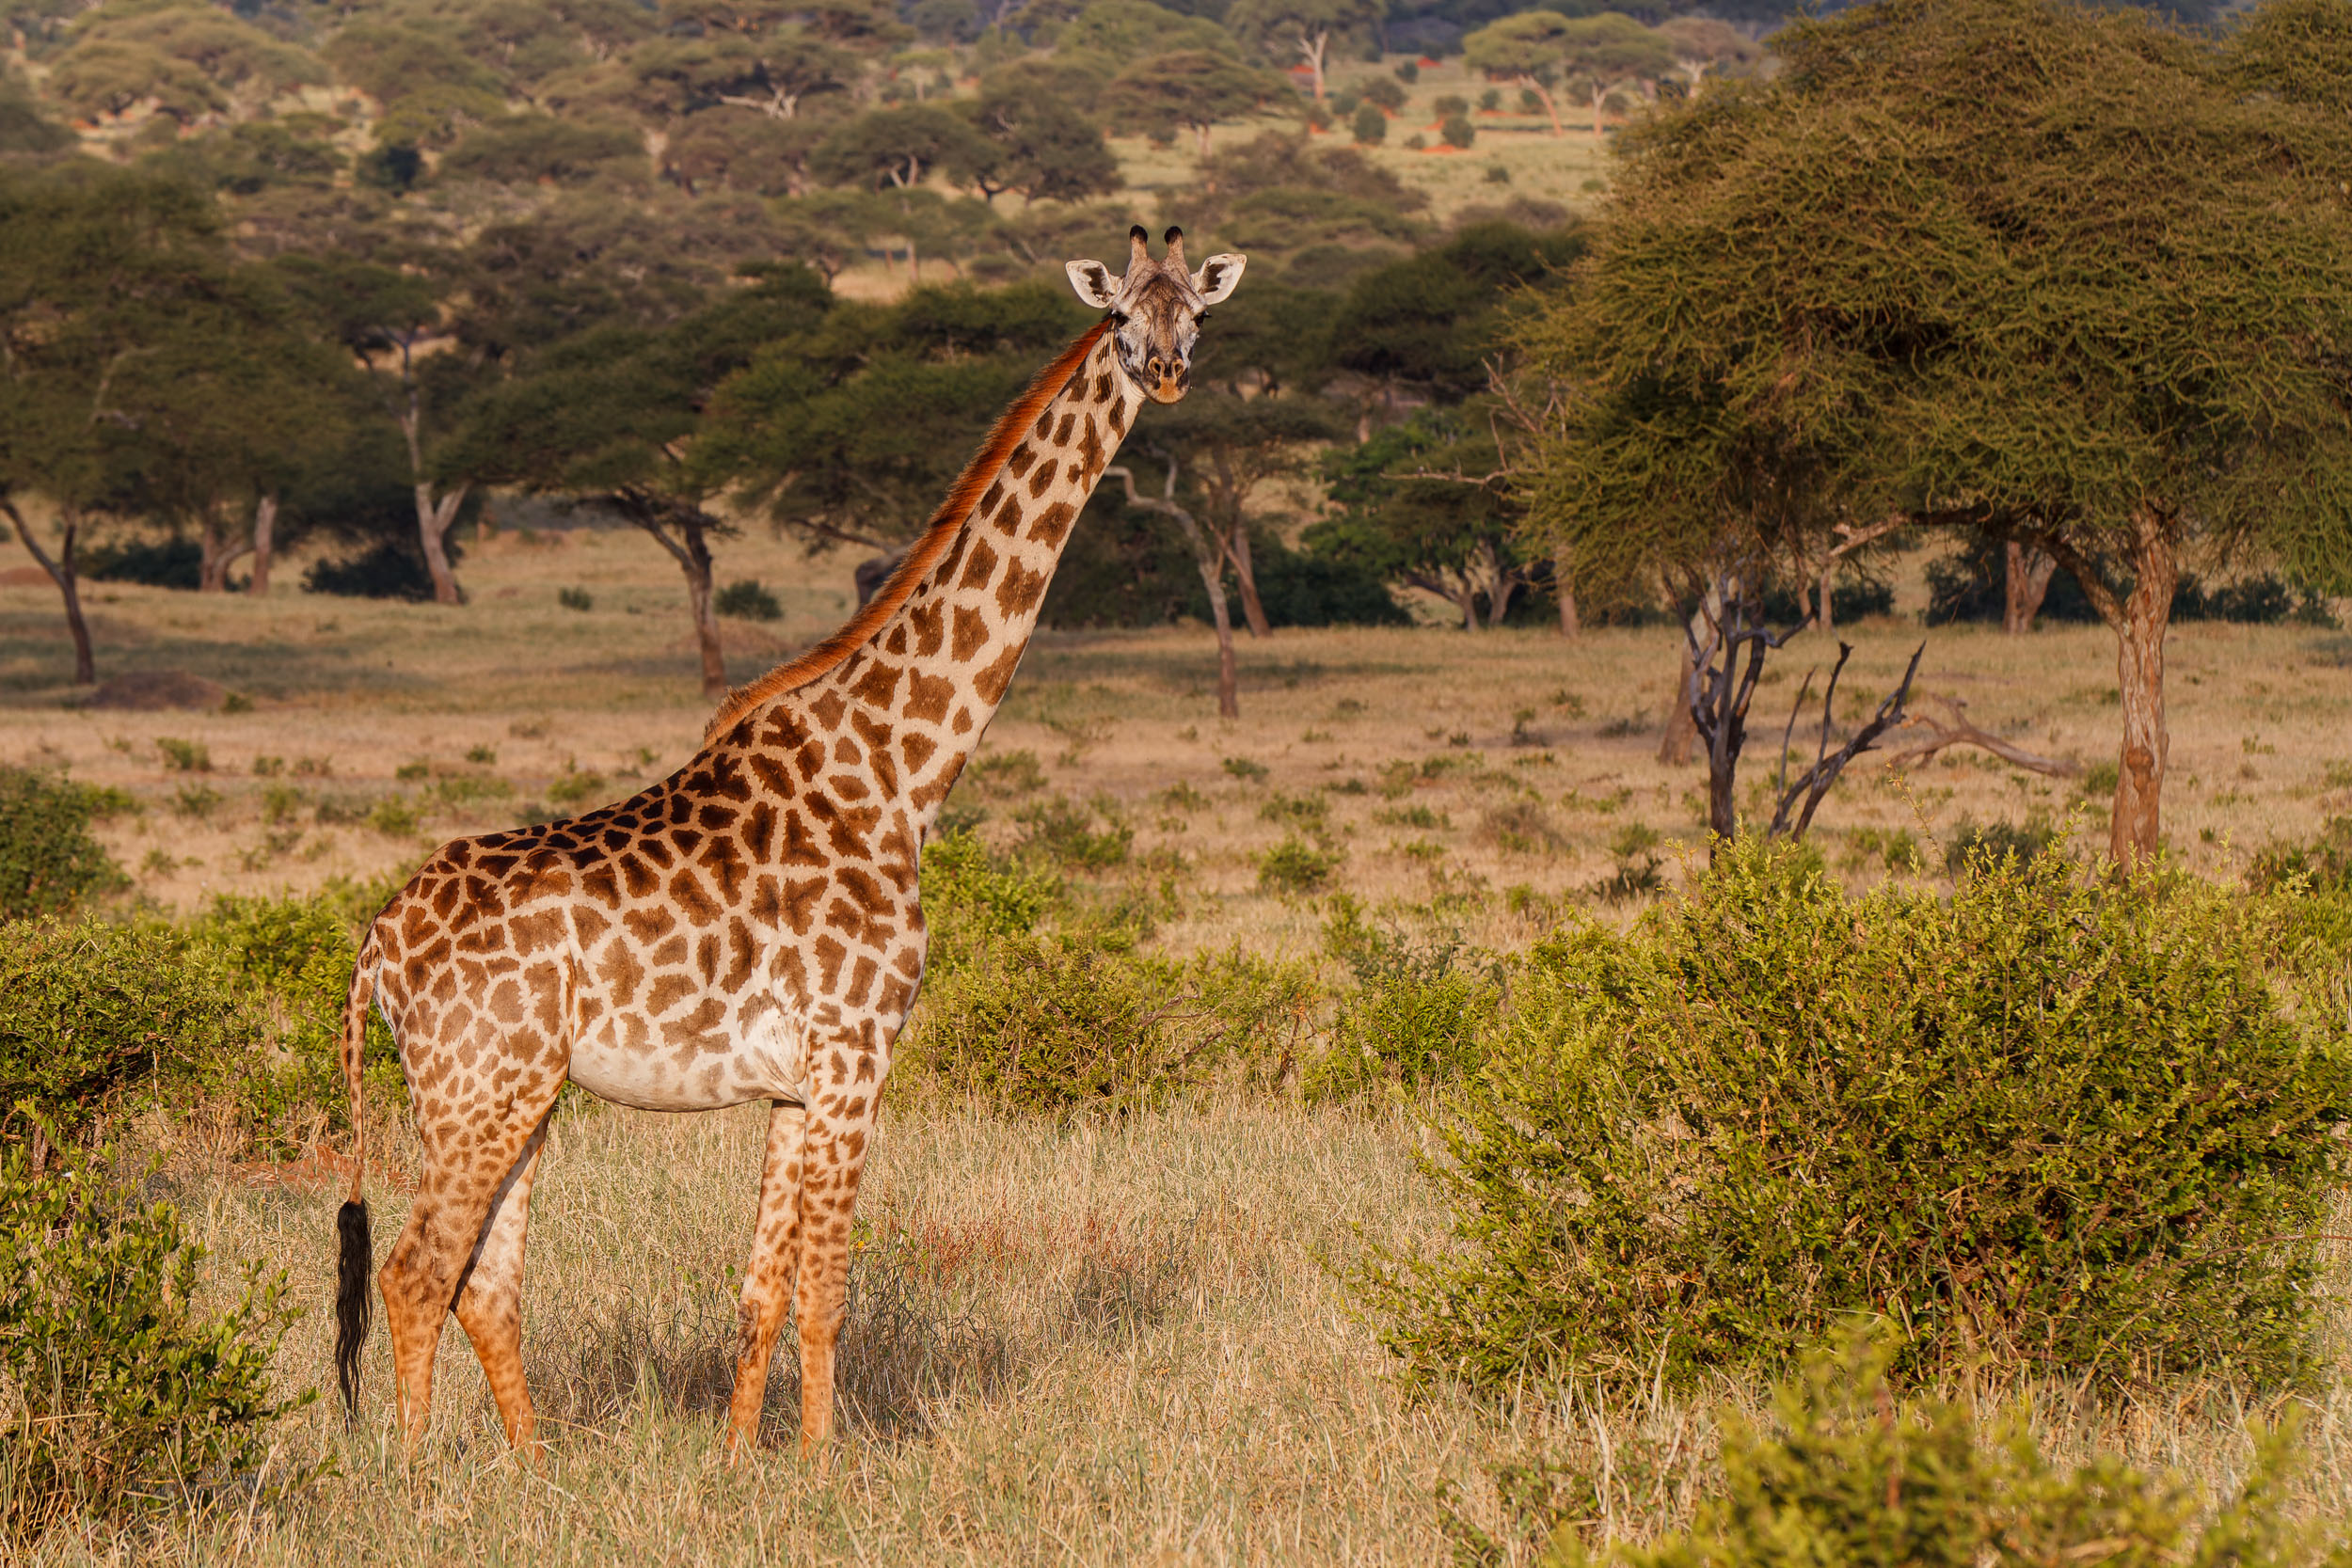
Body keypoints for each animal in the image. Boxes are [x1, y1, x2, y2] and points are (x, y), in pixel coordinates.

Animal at [329, 227, 1245, 1462]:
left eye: (1194, 312)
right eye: (1118, 318)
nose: (1165, 370)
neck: (904, 769)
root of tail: (375, 944)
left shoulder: (794, 1082)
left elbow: (760, 1286)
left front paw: (736, 1459)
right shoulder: (858, 1049)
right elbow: (828, 1287)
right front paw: (821, 1468)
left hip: (509, 1093)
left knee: (485, 1282)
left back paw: (532, 1470)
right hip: (480, 1082)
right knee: (419, 1271)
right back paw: (422, 1474)